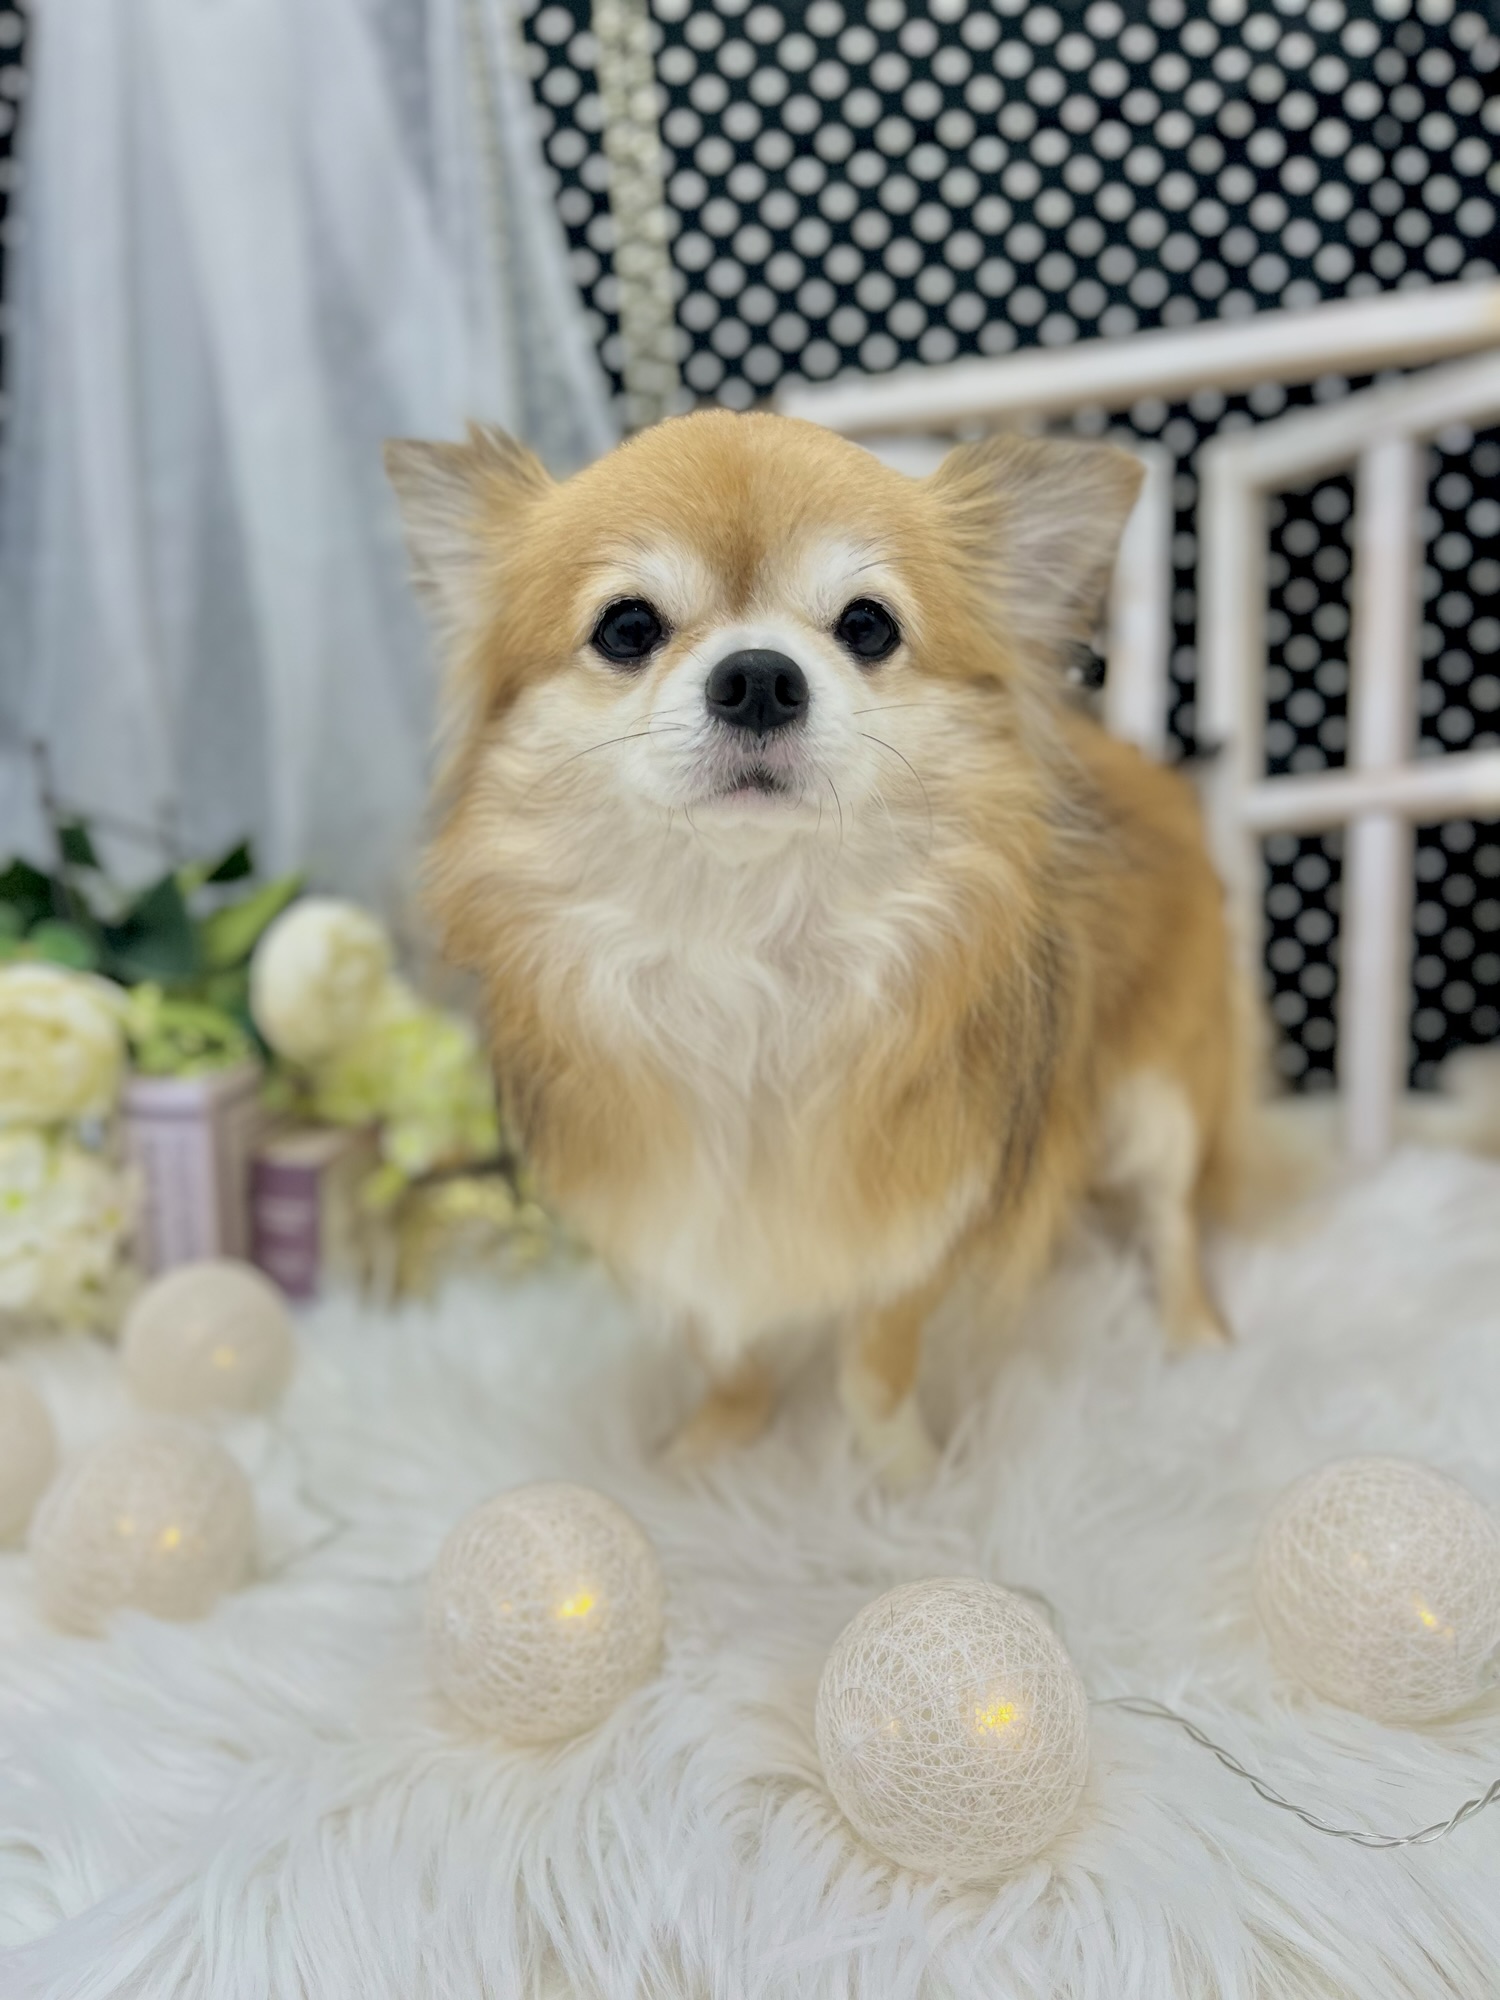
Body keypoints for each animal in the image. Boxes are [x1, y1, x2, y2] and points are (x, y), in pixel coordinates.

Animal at [386, 410, 1244, 1484]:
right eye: (627, 627)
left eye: (868, 625)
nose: (759, 675)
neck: (748, 947)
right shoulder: (685, 1219)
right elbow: (728, 1349)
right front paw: (709, 1451)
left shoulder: (918, 1224)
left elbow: (873, 1369)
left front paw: (905, 1480)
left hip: (1160, 1095)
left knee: (1172, 1217)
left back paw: (1193, 1339)